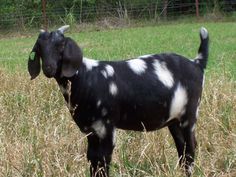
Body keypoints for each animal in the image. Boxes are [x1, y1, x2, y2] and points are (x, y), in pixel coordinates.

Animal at [28, 25, 210, 176]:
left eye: (60, 45)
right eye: (39, 47)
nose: (48, 68)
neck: (86, 77)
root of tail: (197, 63)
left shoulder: (107, 128)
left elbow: (104, 161)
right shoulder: (91, 132)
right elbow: (94, 161)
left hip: (189, 116)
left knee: (190, 148)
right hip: (174, 121)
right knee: (182, 148)